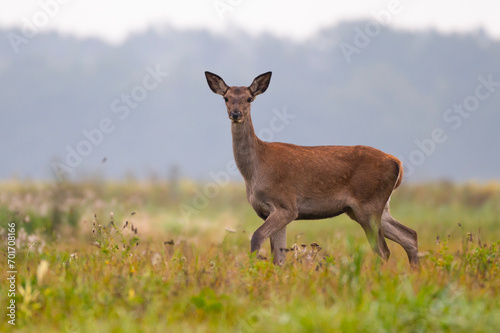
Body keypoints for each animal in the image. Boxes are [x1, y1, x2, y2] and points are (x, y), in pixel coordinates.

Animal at [205, 71, 420, 266]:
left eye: (249, 98)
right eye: (226, 98)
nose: (235, 114)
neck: (254, 171)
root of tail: (398, 164)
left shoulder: (286, 205)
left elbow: (257, 237)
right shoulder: (270, 211)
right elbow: (279, 257)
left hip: (368, 203)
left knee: (383, 250)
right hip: (373, 207)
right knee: (410, 235)